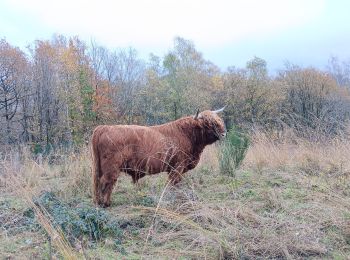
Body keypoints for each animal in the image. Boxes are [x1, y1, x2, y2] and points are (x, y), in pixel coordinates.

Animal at [91, 107, 226, 207]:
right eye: (209, 123)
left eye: (219, 120)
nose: (224, 133)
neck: (188, 135)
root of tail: (104, 127)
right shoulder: (178, 166)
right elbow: (173, 183)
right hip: (111, 167)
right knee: (106, 182)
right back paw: (105, 204)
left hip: (101, 167)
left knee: (101, 182)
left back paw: (100, 202)